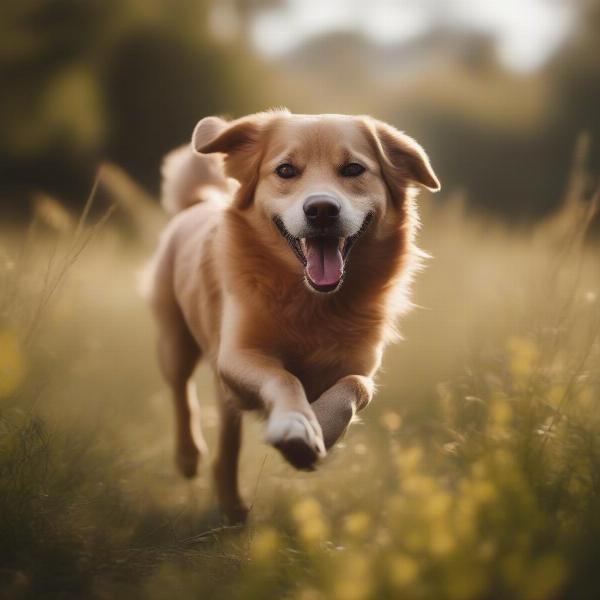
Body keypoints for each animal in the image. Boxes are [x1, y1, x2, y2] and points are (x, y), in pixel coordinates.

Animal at [149, 110, 440, 524]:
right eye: (285, 170)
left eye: (353, 169)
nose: (321, 210)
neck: (311, 302)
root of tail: (198, 202)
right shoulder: (238, 354)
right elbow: (283, 377)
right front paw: (296, 426)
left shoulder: (359, 364)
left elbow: (356, 387)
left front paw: (319, 428)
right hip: (174, 339)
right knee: (180, 391)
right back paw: (189, 456)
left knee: (226, 447)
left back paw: (232, 507)